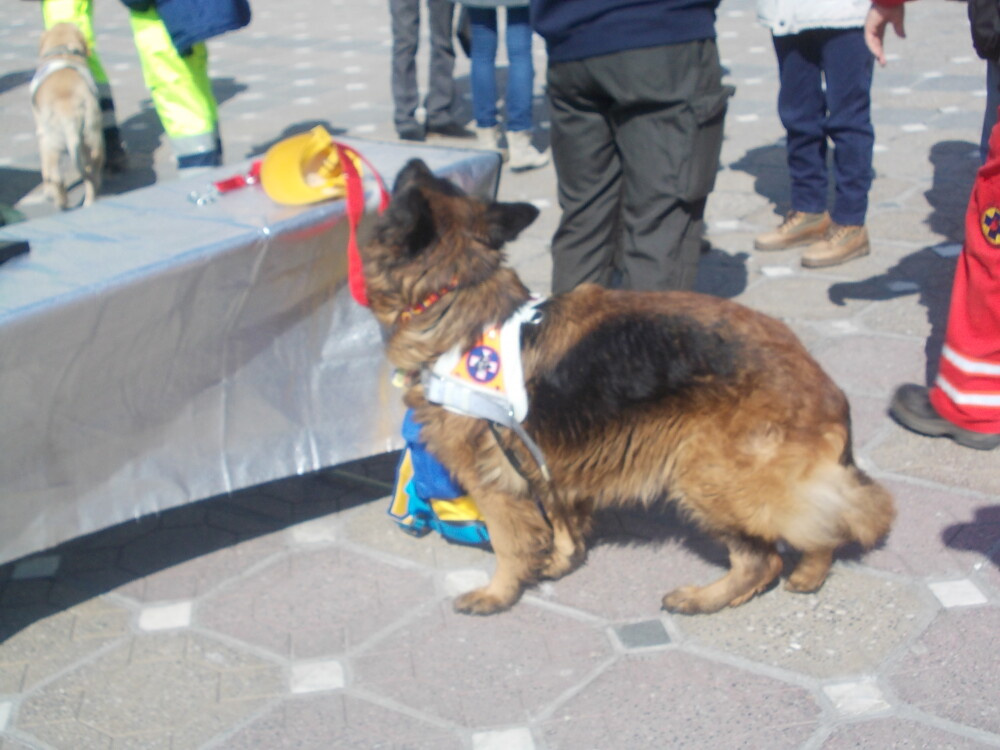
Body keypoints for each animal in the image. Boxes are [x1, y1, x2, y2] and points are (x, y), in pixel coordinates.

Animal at [32, 22, 104, 210]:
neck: (61, 50)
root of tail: (68, 111)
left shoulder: (40, 131)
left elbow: (45, 170)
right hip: (92, 137)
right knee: (91, 171)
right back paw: (90, 200)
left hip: (51, 143)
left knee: (56, 177)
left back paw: (61, 203)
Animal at [364, 160, 896, 616]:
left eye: (408, 186)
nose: (415, 158)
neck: (456, 294)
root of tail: (822, 382)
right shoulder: (543, 462)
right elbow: (560, 521)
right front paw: (562, 561)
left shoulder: (492, 480)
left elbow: (508, 542)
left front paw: (499, 593)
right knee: (815, 524)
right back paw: (806, 573)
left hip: (704, 476)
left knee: (768, 555)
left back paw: (707, 597)